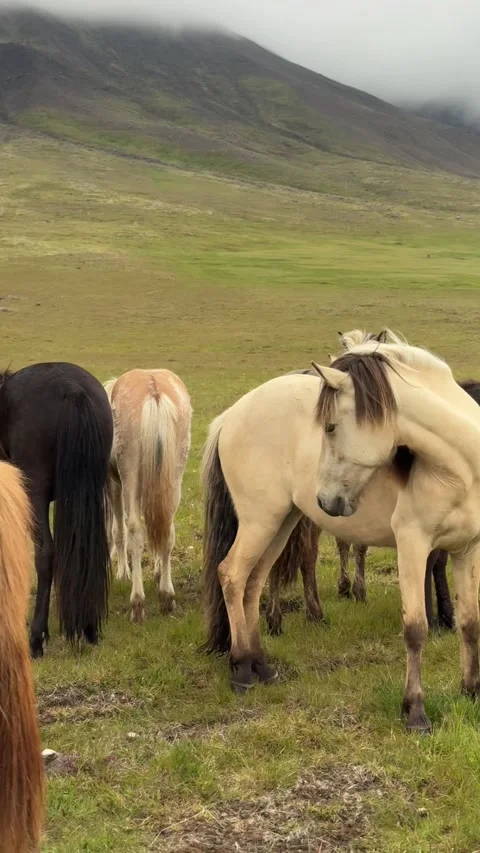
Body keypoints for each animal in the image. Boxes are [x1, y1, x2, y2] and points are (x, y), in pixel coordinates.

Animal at [104, 369, 192, 622]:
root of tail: (154, 392)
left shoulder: (114, 485)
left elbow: (118, 531)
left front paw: (122, 572)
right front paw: (157, 571)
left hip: (130, 474)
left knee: (134, 529)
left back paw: (137, 603)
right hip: (173, 475)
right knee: (167, 529)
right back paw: (167, 596)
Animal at [201, 334, 480, 733]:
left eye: (330, 427)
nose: (326, 501)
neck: (460, 468)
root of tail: (231, 416)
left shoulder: (467, 549)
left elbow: (470, 623)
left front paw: (470, 691)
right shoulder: (413, 545)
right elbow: (415, 629)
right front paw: (415, 712)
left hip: (281, 524)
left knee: (252, 583)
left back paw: (261, 666)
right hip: (260, 522)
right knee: (232, 576)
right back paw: (241, 670)